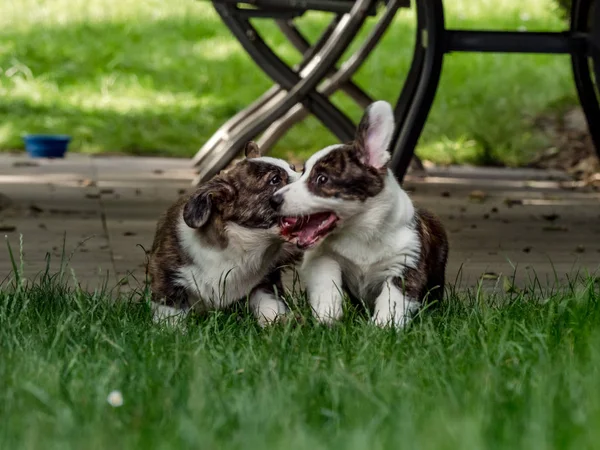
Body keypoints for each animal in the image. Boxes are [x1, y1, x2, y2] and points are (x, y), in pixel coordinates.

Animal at [148, 142, 302, 328]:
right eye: (275, 179)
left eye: (293, 168)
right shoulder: (166, 274)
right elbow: (170, 310)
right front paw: (172, 329)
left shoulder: (266, 281)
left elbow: (270, 304)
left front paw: (277, 322)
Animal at [270, 101, 448, 326]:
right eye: (302, 173)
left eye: (322, 179)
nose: (274, 200)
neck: (360, 230)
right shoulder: (320, 257)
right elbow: (326, 284)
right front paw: (327, 317)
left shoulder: (405, 265)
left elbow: (392, 299)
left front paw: (383, 326)